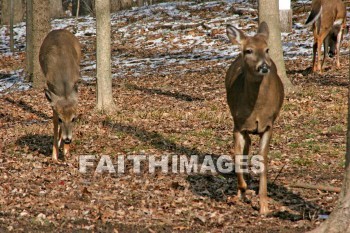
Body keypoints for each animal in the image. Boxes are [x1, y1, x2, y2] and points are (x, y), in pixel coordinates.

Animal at [39, 29, 81, 162]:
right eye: (60, 119)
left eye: (74, 119)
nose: (68, 139)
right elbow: (54, 124)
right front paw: (54, 155)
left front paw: (66, 151)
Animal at [226, 22, 284, 215]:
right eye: (249, 50)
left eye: (267, 49)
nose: (264, 66)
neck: (256, 109)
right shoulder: (238, 125)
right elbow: (237, 157)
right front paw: (242, 189)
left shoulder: (268, 125)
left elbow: (262, 160)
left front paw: (264, 206)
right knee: (246, 148)